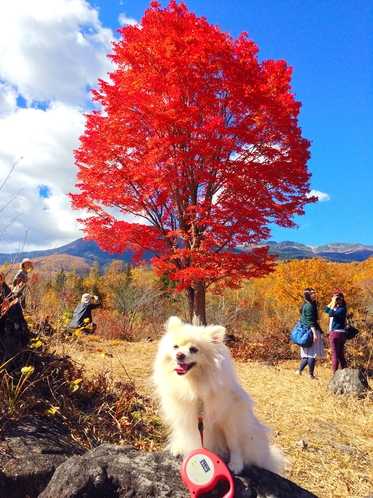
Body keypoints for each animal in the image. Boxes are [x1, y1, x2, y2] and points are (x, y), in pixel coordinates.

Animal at [151, 318, 284, 476]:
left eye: (194, 349)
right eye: (175, 347)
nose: (179, 355)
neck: (192, 384)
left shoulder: (230, 418)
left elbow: (233, 443)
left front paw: (236, 464)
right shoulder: (183, 413)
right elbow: (182, 431)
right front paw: (179, 446)